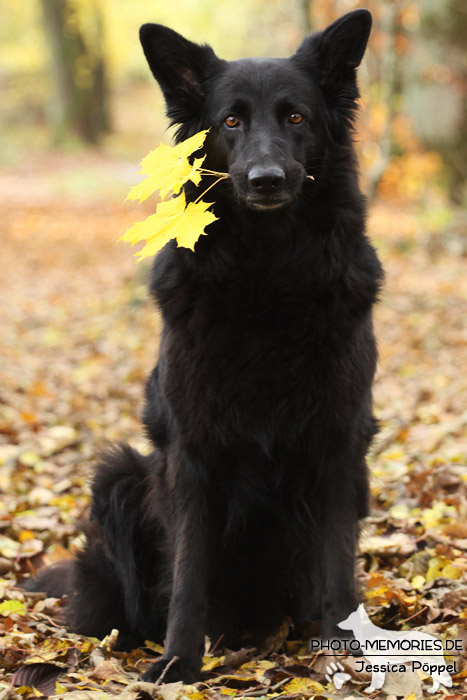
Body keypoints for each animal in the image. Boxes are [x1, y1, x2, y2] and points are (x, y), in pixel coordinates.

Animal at [32, 8, 384, 680]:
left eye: (296, 117)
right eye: (230, 121)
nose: (266, 180)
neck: (268, 277)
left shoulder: (337, 445)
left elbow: (337, 566)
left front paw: (341, 656)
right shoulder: (192, 453)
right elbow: (189, 569)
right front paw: (177, 663)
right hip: (118, 478)